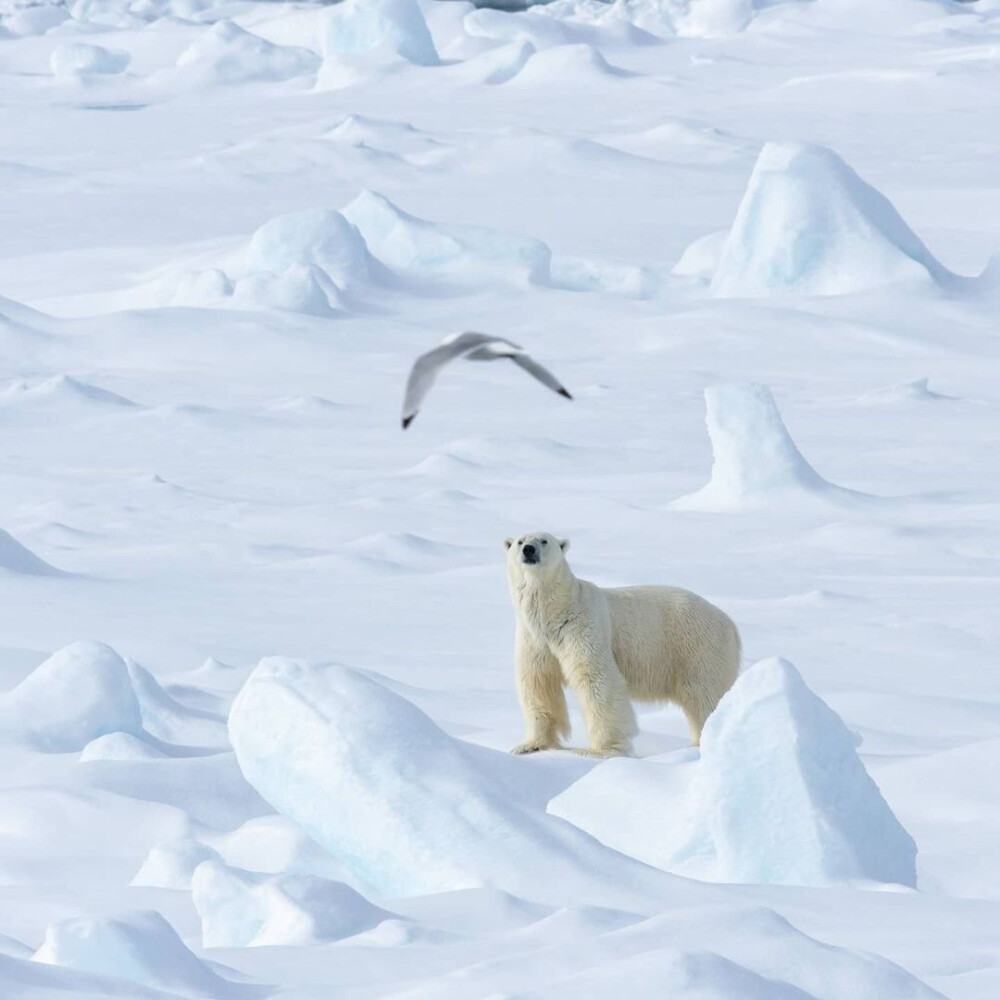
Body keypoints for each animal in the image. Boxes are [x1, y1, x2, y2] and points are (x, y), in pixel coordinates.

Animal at [504, 532, 740, 756]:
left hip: (699, 646)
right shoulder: (534, 638)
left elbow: (596, 678)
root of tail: (732, 625)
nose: (529, 549)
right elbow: (538, 681)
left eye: (544, 540)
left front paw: (600, 750)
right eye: (520, 541)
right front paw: (530, 745)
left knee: (705, 694)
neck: (555, 612)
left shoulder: (583, 626)